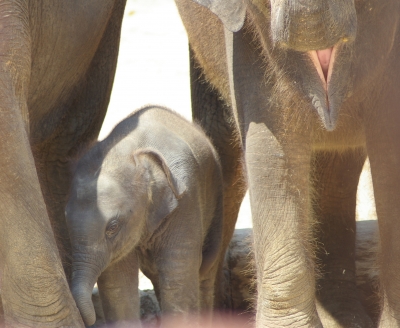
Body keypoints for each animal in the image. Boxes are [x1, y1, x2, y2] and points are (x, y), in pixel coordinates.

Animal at [65, 106, 225, 326]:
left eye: (112, 227)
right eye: (65, 217)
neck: (130, 148)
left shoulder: (187, 201)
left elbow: (178, 271)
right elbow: (118, 278)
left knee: (206, 267)